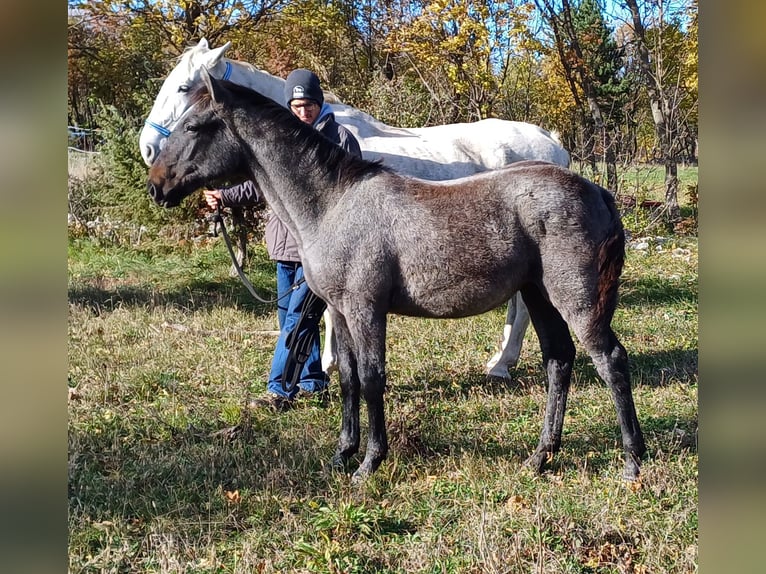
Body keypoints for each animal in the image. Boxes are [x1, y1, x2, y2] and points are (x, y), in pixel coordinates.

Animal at [138, 40, 572, 382]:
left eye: (185, 87)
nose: (147, 150)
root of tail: (551, 141)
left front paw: (327, 364)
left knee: (521, 310)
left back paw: (501, 364)